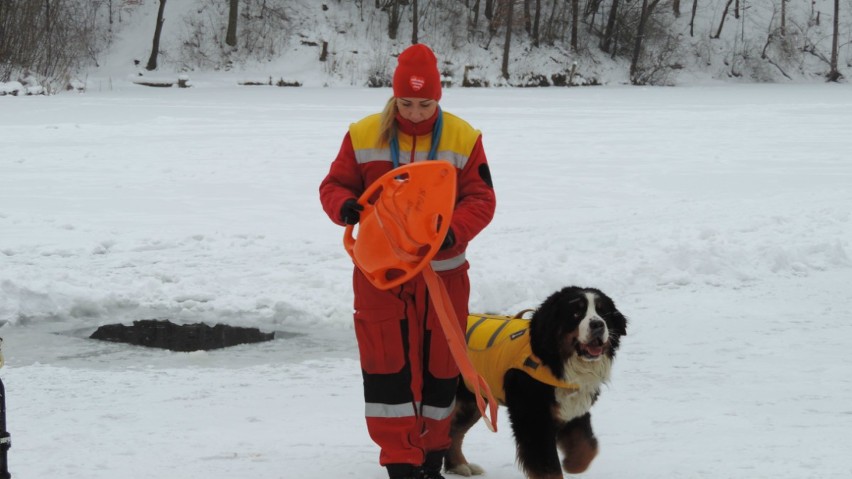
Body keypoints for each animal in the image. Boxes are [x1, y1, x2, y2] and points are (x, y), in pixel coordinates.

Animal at [446, 286, 624, 478]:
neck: (554, 361)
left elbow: (587, 447)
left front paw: (572, 464)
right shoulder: (534, 417)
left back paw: (459, 466)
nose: (598, 324)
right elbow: (549, 466)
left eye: (603, 312)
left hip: (471, 401)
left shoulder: (571, 408)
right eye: (576, 313)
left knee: (453, 431)